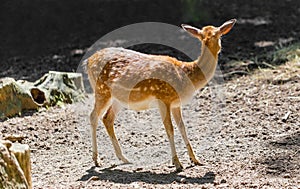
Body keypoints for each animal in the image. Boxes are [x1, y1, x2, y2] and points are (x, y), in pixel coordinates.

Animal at [83, 19, 236, 171]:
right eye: (204, 38)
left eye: (218, 35)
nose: (216, 48)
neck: (186, 75)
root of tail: (88, 61)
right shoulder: (163, 98)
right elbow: (170, 129)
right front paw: (177, 163)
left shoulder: (176, 103)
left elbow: (182, 127)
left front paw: (196, 160)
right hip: (101, 90)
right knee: (93, 116)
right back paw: (96, 160)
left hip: (118, 98)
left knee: (107, 118)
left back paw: (124, 158)